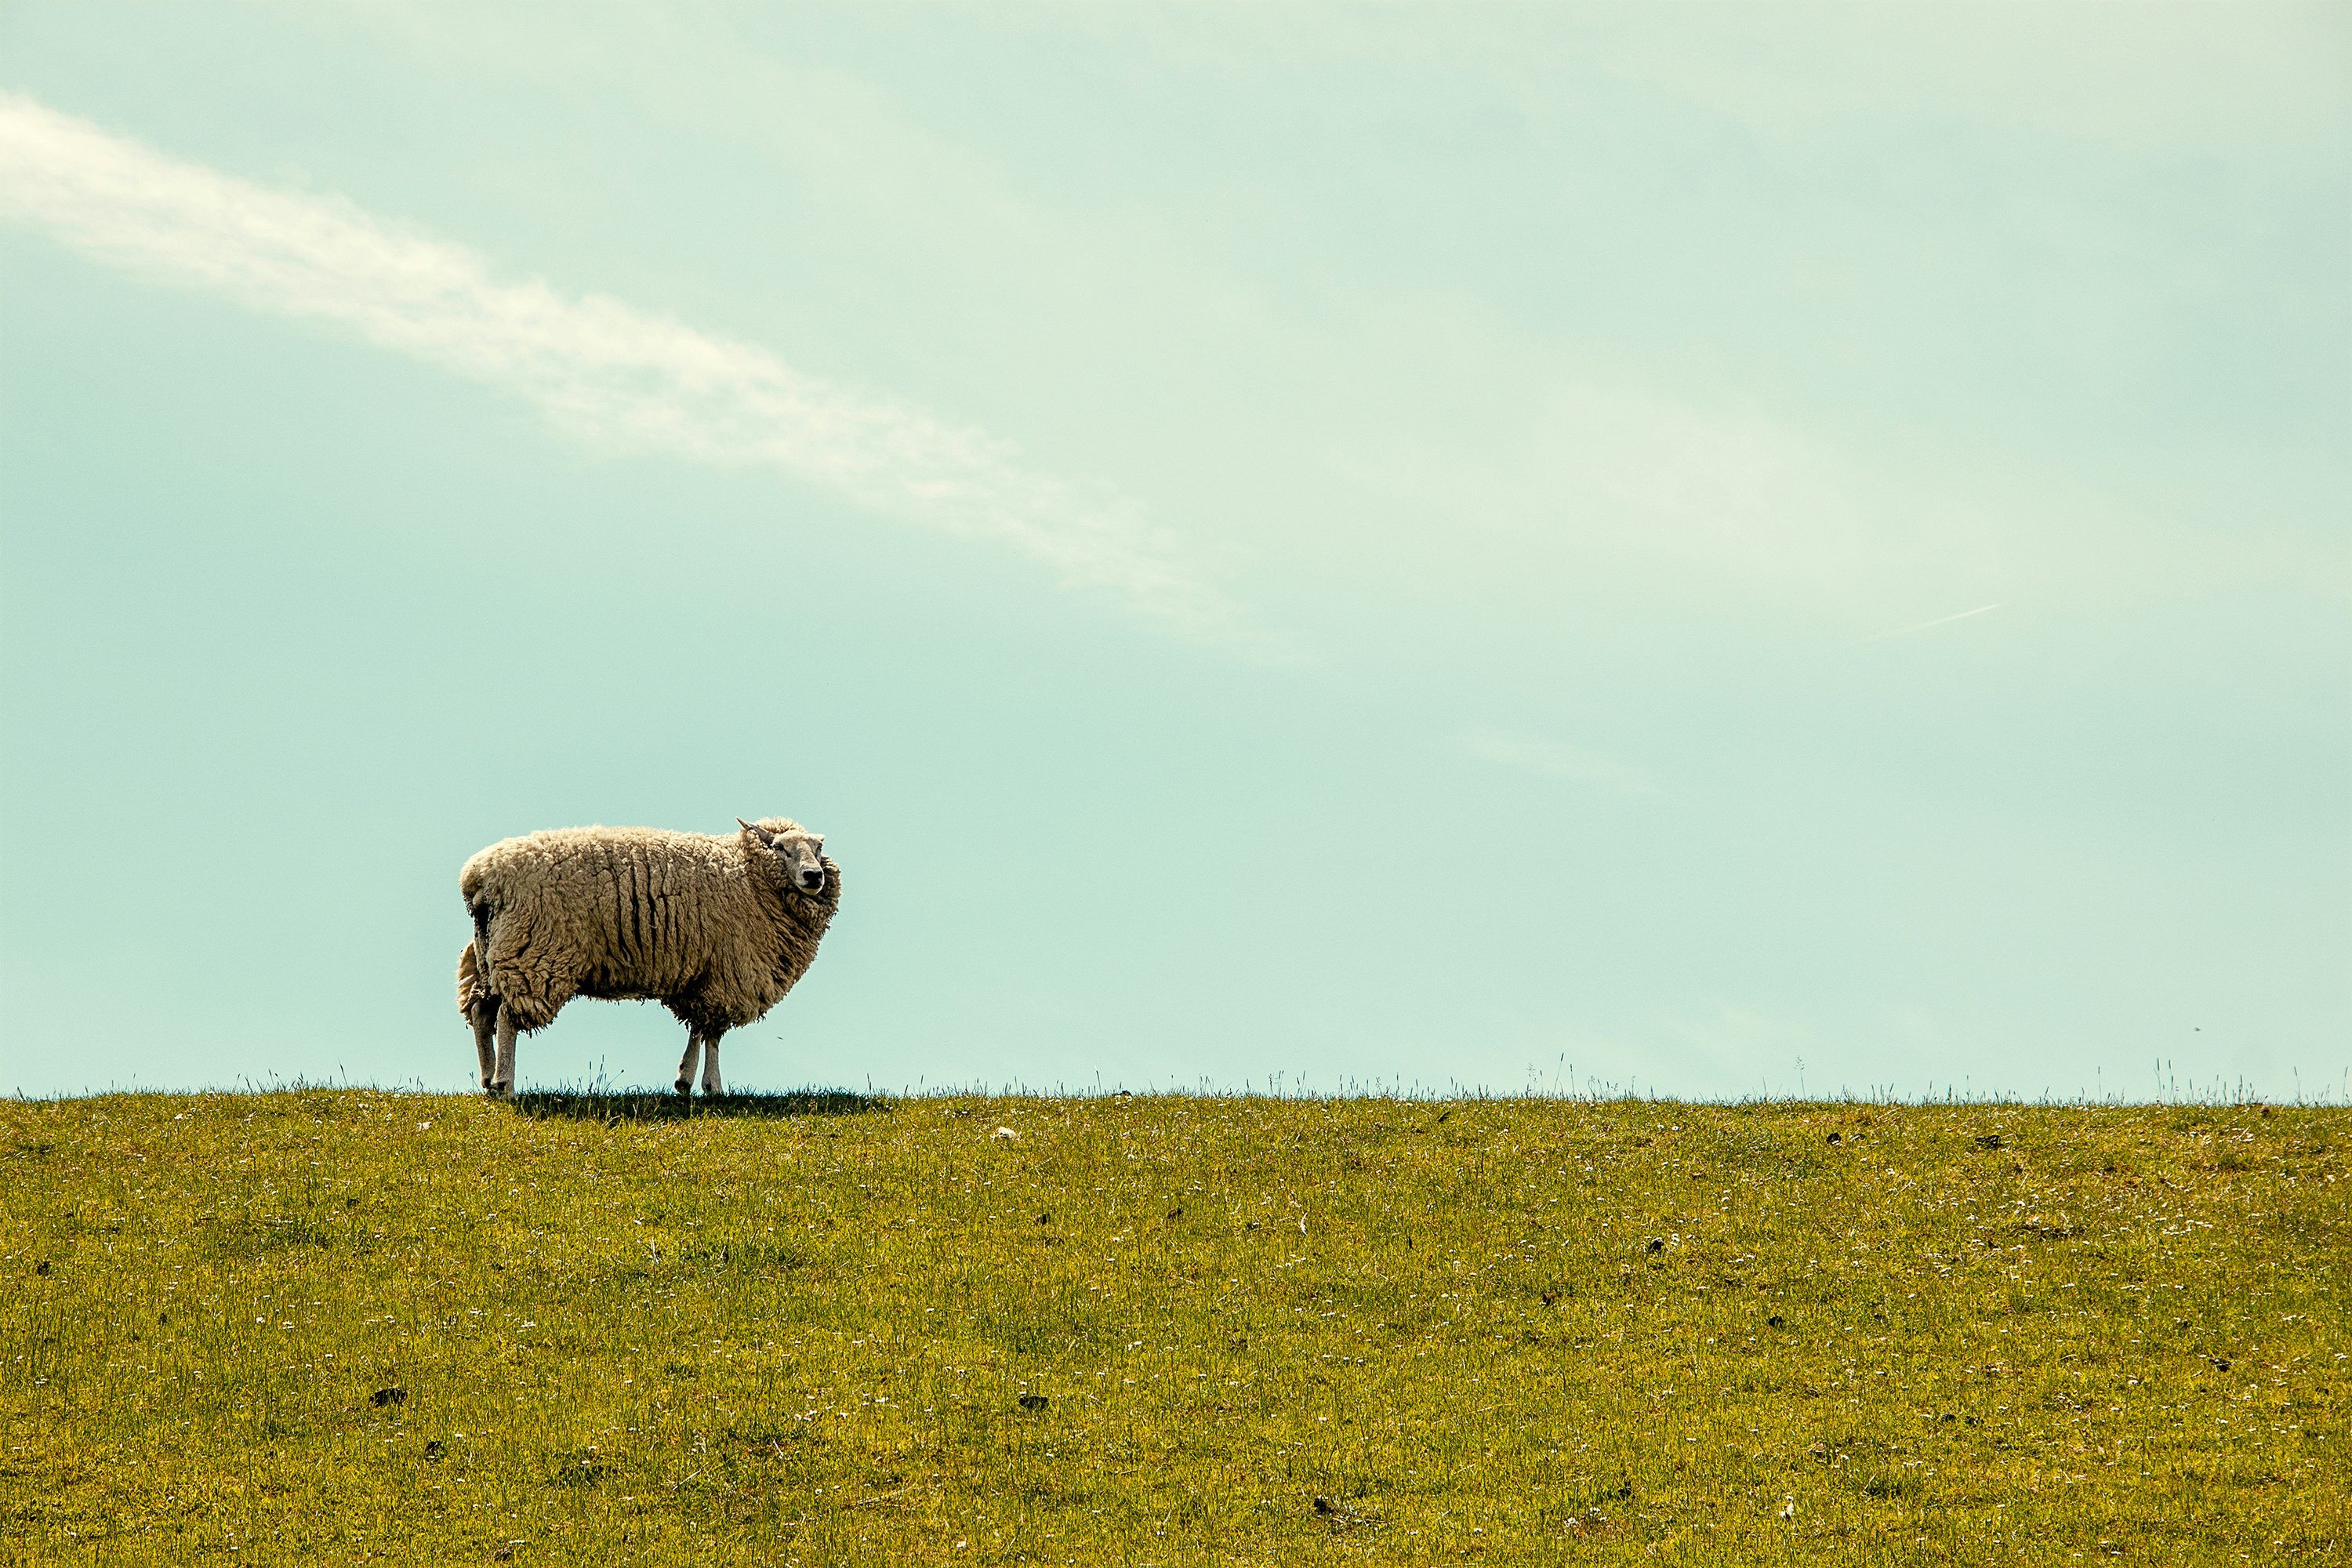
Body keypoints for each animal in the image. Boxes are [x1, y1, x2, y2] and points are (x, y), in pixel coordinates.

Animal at [454, 817, 841, 1098]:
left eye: (818, 847)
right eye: (780, 848)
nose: (814, 876)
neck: (748, 874)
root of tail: (479, 877)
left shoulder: (700, 976)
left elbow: (699, 1028)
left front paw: (686, 1080)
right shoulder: (728, 975)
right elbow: (713, 1033)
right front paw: (713, 1086)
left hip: (492, 953)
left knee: (482, 1011)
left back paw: (488, 1080)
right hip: (533, 954)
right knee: (507, 1017)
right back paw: (505, 1084)